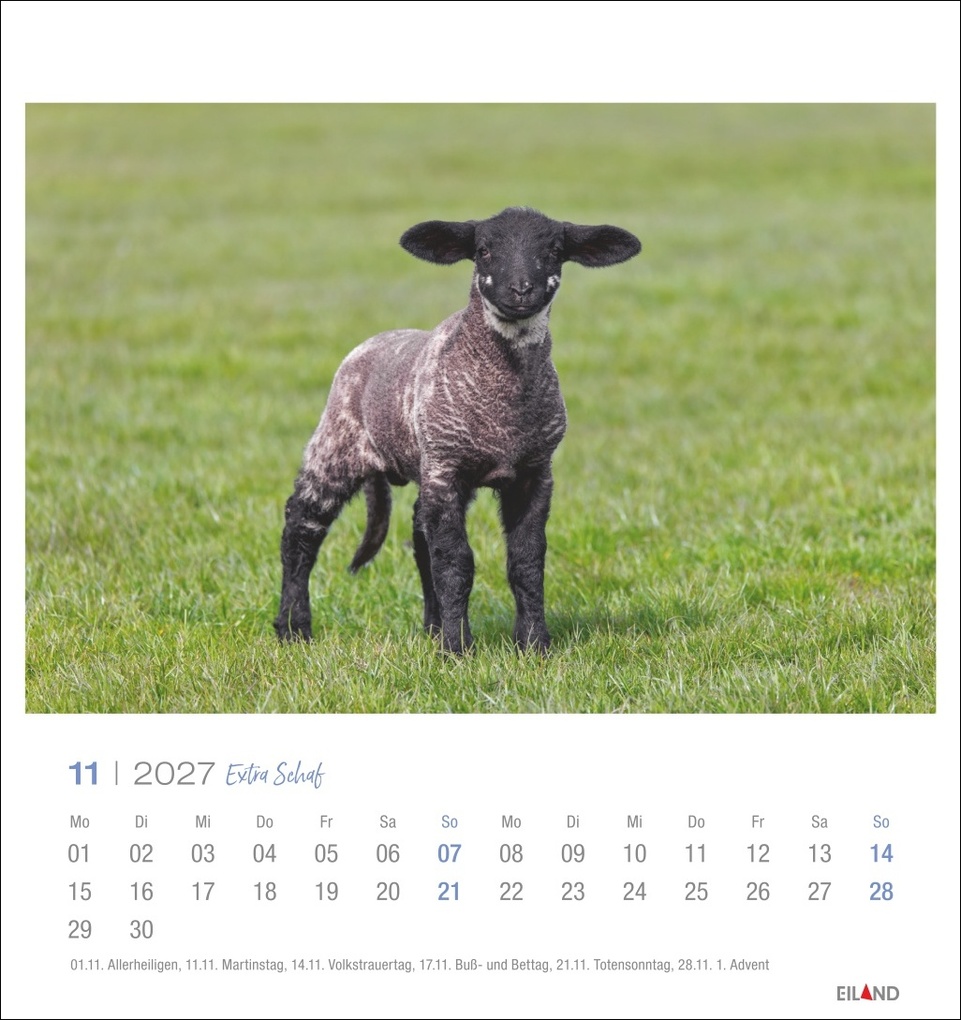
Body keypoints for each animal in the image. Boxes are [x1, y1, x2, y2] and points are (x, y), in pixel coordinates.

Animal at [274, 206, 641, 655]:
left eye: (555, 250)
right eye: (483, 250)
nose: (522, 289)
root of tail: (371, 343)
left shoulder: (535, 472)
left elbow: (526, 561)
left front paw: (533, 644)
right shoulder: (446, 468)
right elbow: (455, 563)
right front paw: (457, 650)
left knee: (419, 536)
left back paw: (431, 627)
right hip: (336, 445)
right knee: (301, 528)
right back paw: (293, 628)